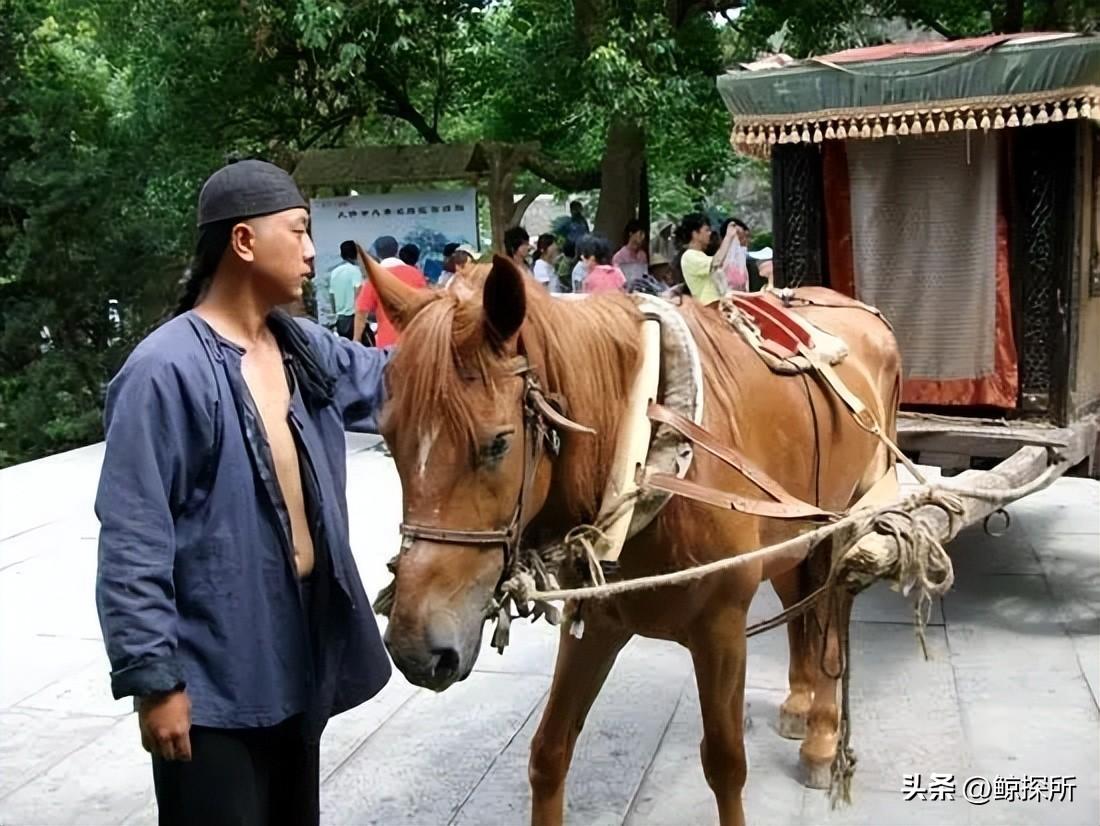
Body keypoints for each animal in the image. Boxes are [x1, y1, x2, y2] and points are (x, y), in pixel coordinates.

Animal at [365, 254, 897, 826]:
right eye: (389, 435)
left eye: (498, 444)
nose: (415, 649)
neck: (646, 455)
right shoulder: (597, 622)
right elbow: (549, 753)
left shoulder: (722, 627)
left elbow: (726, 765)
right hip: (793, 530)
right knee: (801, 599)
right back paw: (800, 704)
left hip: (850, 514)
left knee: (833, 616)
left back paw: (822, 734)